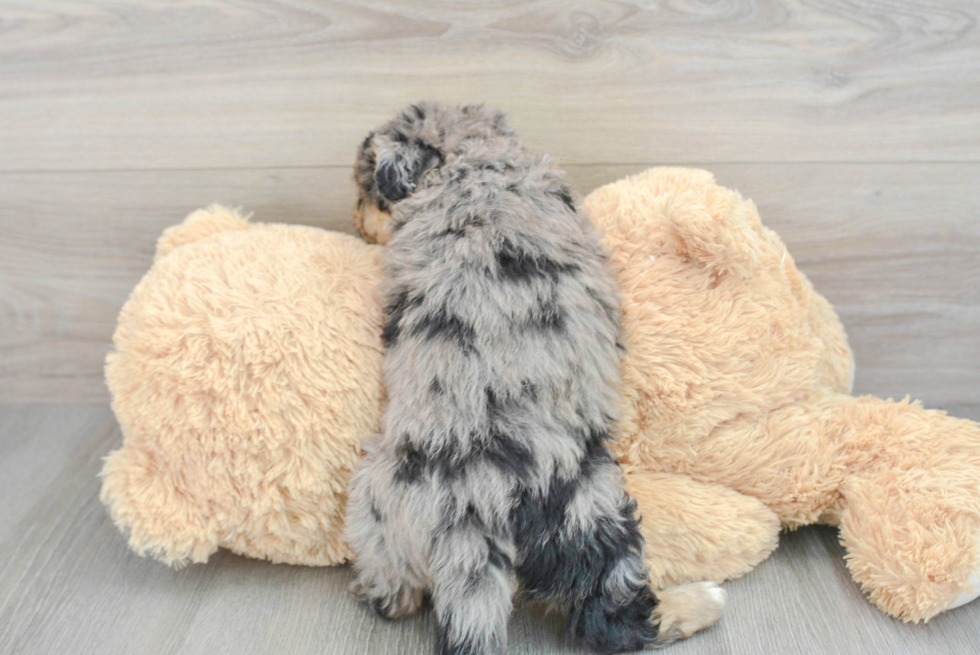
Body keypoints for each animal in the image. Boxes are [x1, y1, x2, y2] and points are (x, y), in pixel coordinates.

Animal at [342, 101, 720, 652]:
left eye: (366, 195)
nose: (353, 220)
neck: (473, 162)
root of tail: (471, 512)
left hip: (395, 509)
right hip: (587, 510)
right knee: (618, 617)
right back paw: (701, 601)